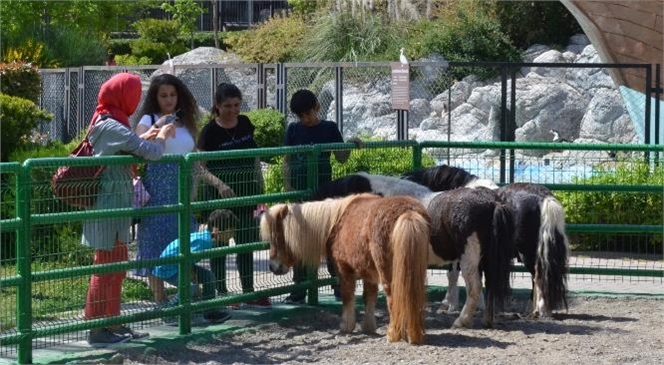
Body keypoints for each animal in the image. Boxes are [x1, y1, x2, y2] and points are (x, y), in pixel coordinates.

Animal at [260, 193, 430, 344]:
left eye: (277, 237)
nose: (273, 266)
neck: (335, 223)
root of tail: (408, 213)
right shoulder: (368, 273)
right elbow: (369, 297)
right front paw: (368, 326)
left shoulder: (344, 269)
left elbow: (347, 296)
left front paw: (346, 326)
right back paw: (412, 333)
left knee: (393, 299)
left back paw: (393, 334)